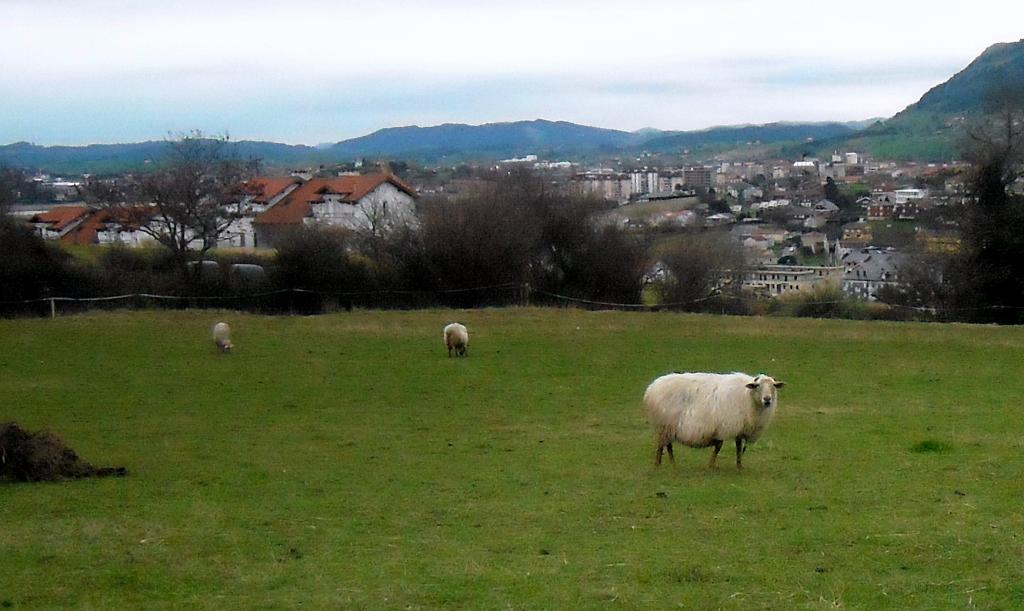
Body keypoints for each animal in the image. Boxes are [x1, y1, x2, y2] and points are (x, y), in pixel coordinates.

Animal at [643, 372, 786, 466]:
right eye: (757, 386)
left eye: (773, 386)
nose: (767, 400)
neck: (747, 396)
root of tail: (651, 388)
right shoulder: (727, 425)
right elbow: (719, 446)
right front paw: (712, 466)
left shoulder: (739, 427)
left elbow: (738, 447)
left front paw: (739, 466)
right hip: (664, 424)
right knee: (662, 445)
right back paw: (659, 465)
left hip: (668, 427)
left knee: (667, 445)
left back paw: (672, 464)